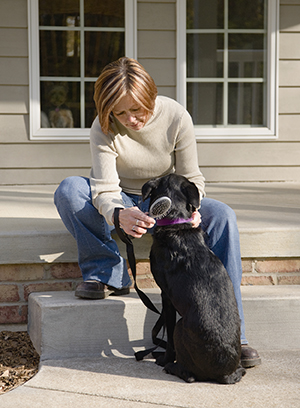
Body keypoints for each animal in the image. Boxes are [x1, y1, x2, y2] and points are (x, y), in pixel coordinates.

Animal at [142, 174, 245, 384]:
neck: (176, 223)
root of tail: (225, 374)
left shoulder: (166, 297)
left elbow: (168, 335)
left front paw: (165, 358)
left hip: (180, 326)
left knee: (189, 375)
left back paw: (172, 367)